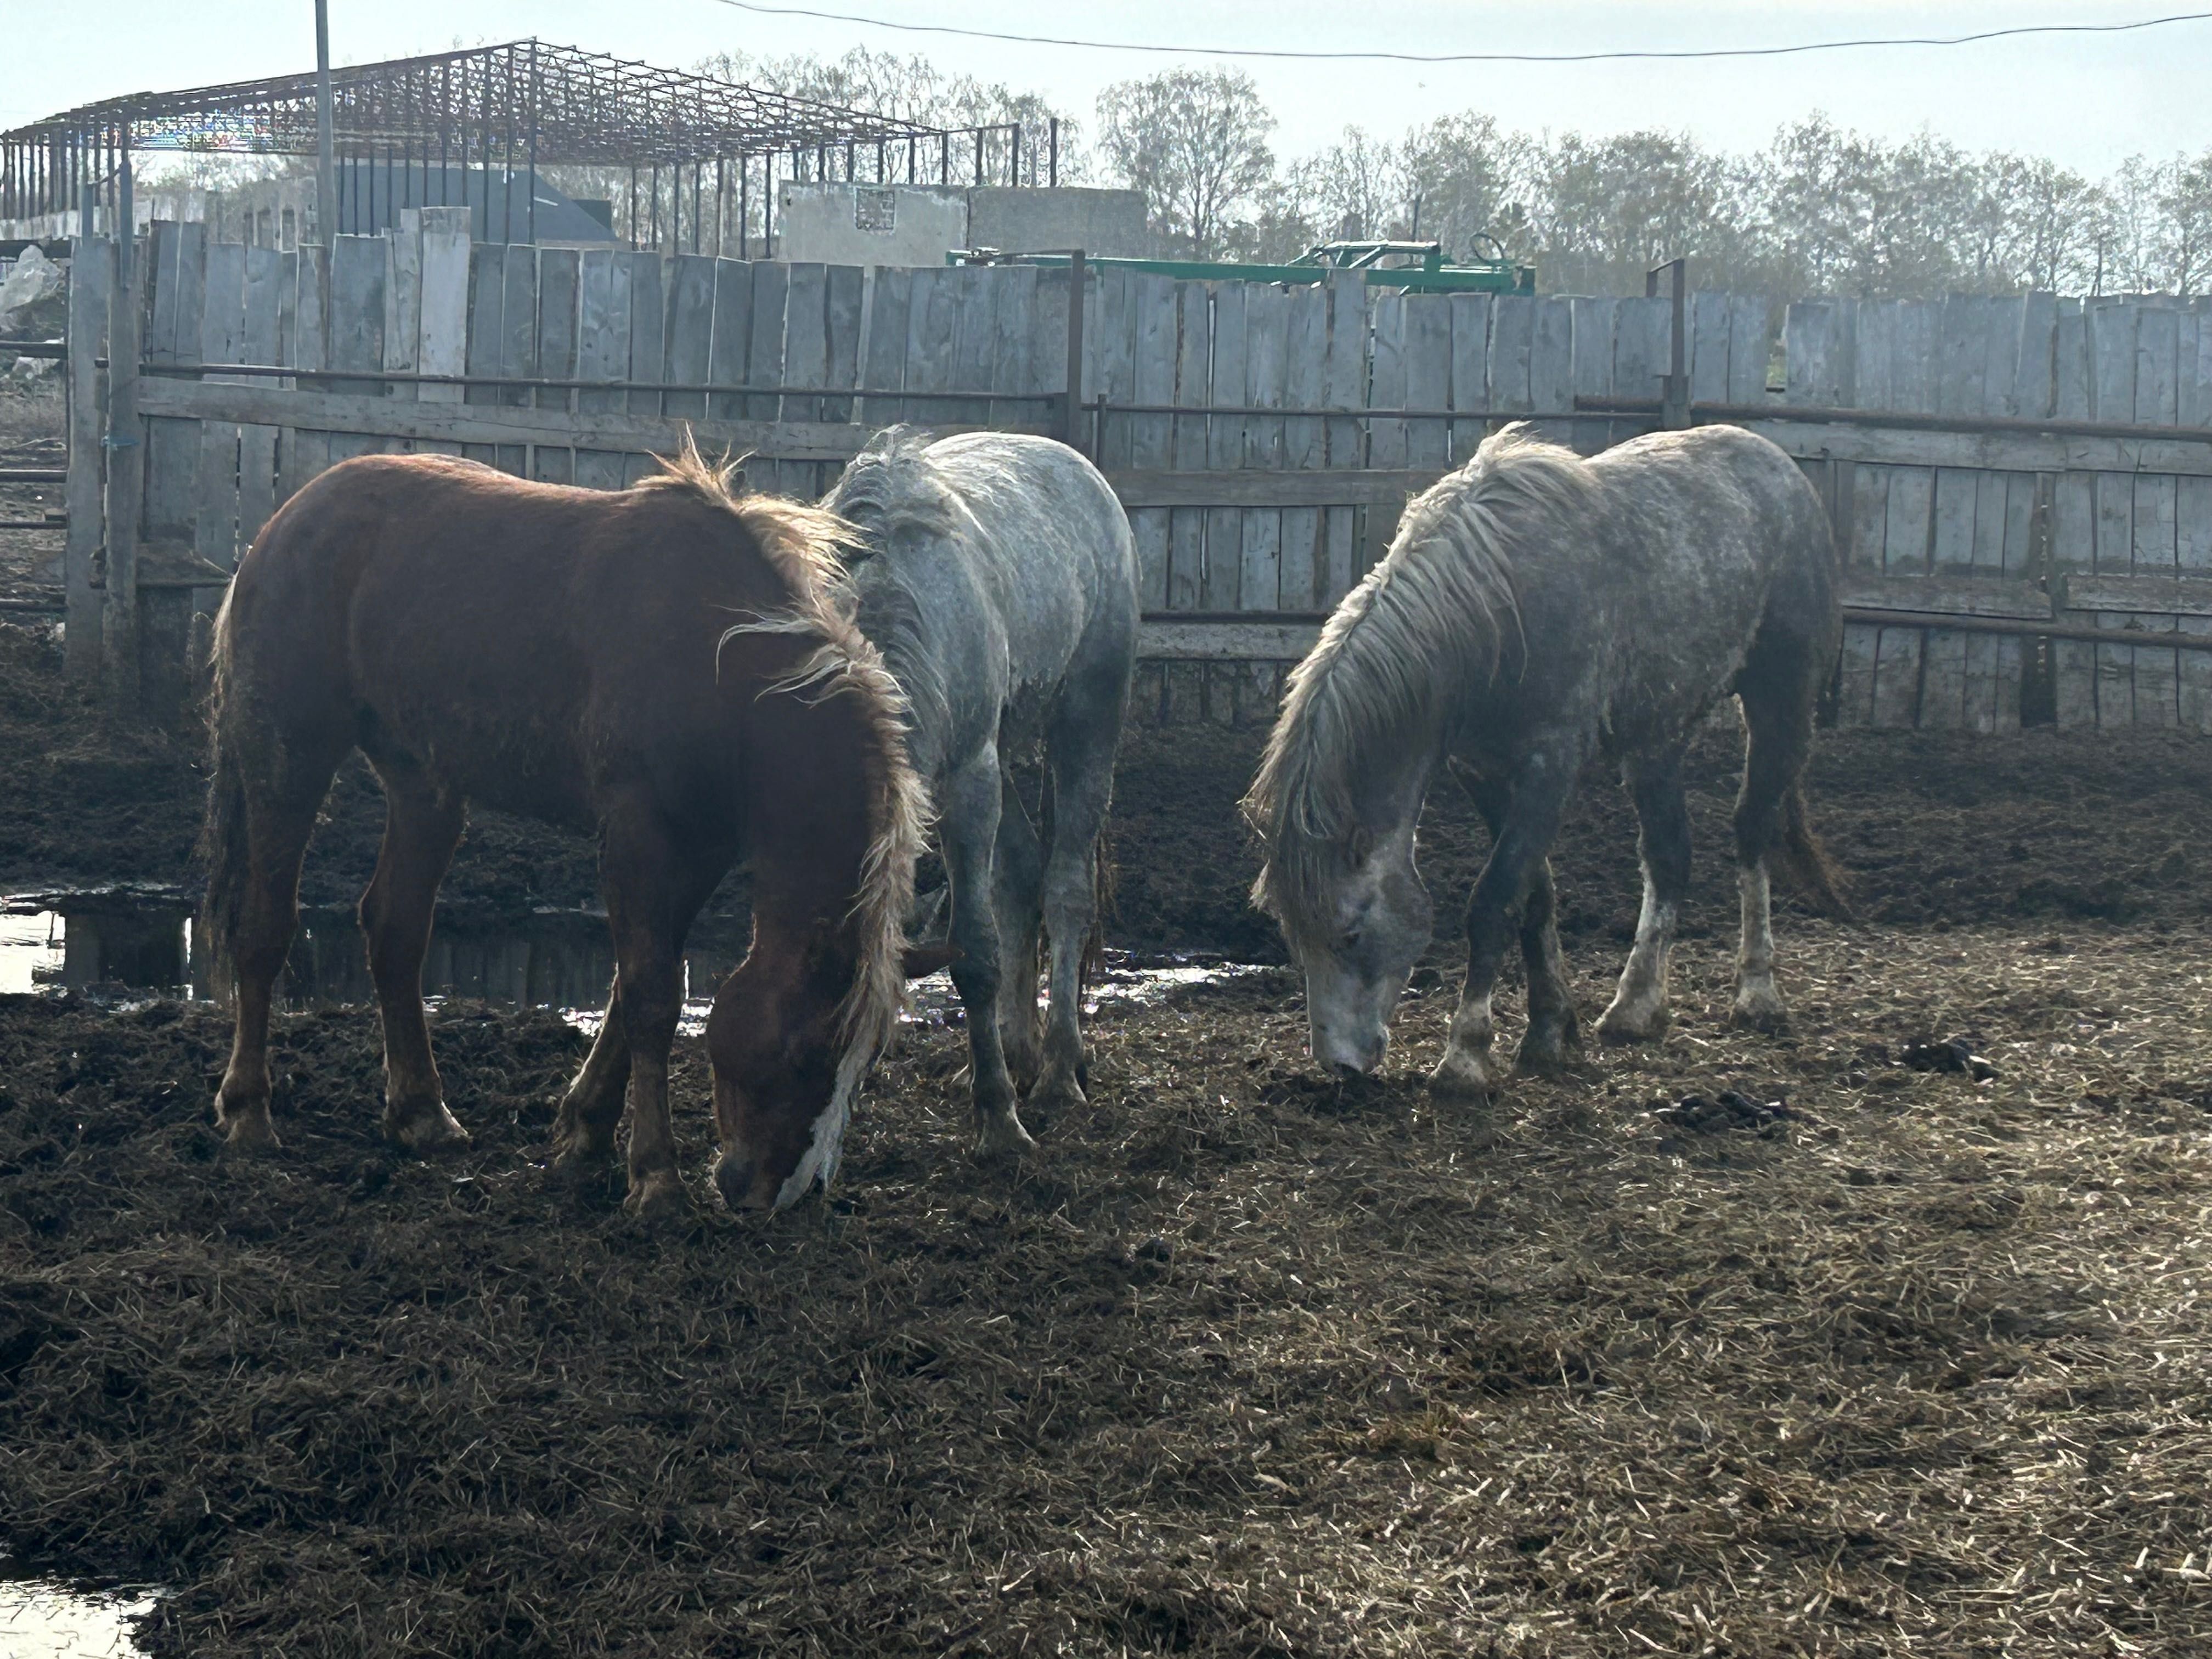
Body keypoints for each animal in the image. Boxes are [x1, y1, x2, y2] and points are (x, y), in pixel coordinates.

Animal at [203, 449, 929, 1212]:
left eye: (866, 1063)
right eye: (807, 1053)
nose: (778, 1193)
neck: (722, 665)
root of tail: (286, 521)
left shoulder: (699, 851)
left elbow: (631, 990)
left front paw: (586, 1135)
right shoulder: (639, 833)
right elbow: (652, 998)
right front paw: (655, 1177)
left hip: (422, 783)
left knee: (394, 930)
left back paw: (422, 1115)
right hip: (289, 758)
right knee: (265, 929)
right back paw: (249, 1114)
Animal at [832, 429, 1141, 1159]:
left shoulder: (968, 779)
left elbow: (974, 951)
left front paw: (1000, 1120)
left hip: (1086, 719)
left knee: (1065, 888)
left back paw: (1058, 1068)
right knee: (1022, 876)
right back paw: (1017, 1052)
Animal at [1248, 422, 1849, 1097]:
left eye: (1349, 934)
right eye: (1292, 933)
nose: (1340, 1065)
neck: (1491, 612)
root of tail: (1783, 468)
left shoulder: (1549, 767)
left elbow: (1493, 902)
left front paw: (1465, 1057)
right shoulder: (1483, 772)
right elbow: (1534, 898)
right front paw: (1549, 1032)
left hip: (1781, 702)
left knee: (1752, 832)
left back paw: (1757, 993)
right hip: (1655, 738)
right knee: (1669, 854)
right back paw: (1637, 1007)